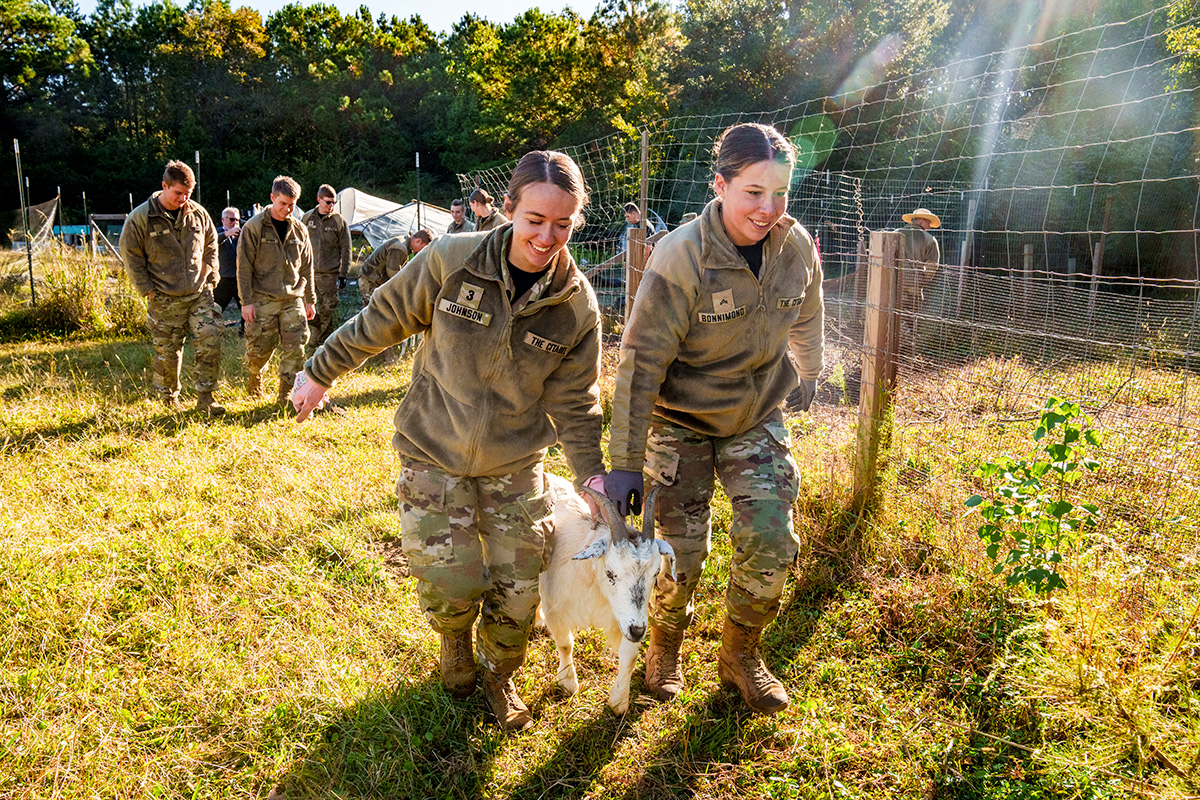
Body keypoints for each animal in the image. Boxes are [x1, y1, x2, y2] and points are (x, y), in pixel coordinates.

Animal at [537, 472, 676, 714]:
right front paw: (568, 683)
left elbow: (629, 656)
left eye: (656, 572)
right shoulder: (555, 608)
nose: (638, 631)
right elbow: (565, 644)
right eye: (611, 573)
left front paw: (619, 701)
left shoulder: (624, 616)